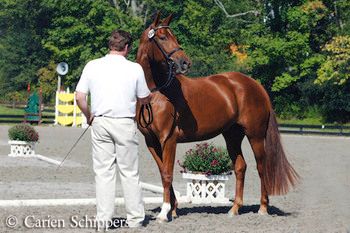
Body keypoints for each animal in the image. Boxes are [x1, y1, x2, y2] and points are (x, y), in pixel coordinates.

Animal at [136, 13, 298, 221]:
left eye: (174, 37)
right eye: (162, 37)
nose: (185, 63)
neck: (157, 93)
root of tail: (255, 85)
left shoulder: (168, 139)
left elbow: (166, 173)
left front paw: (165, 213)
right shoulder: (151, 142)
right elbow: (162, 170)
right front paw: (173, 208)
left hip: (255, 134)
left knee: (261, 166)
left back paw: (263, 208)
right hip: (232, 135)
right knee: (240, 167)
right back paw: (234, 209)